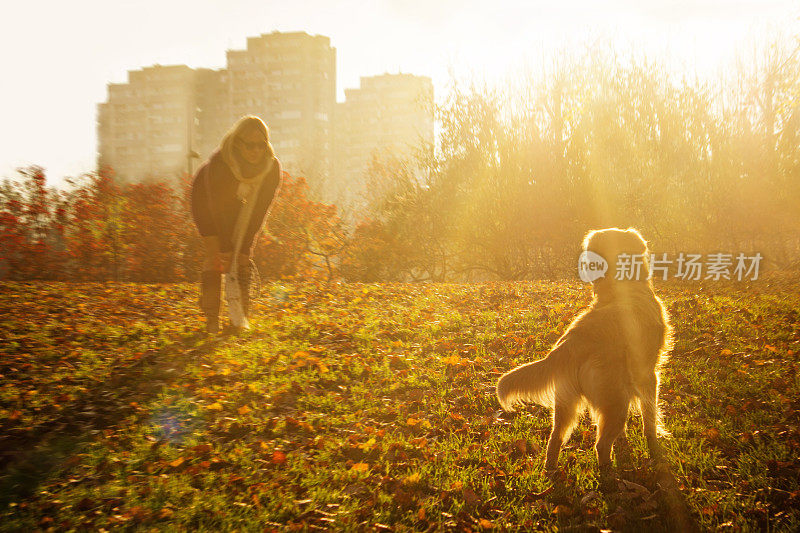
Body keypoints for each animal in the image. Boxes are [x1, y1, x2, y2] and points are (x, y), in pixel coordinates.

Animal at [496, 227, 672, 472]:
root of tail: (571, 343)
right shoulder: (649, 376)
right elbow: (650, 418)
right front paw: (654, 446)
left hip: (566, 403)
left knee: (555, 439)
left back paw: (551, 471)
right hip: (617, 401)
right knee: (601, 445)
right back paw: (610, 474)